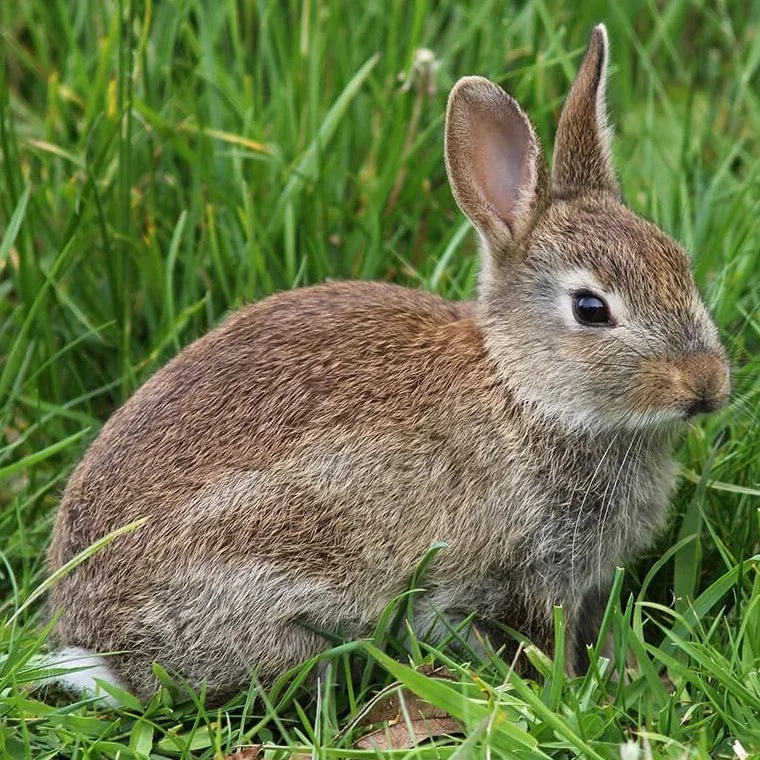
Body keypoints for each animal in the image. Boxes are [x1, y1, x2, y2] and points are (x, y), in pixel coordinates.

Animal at [46, 24, 730, 704]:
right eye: (591, 309)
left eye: (679, 261)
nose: (708, 385)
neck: (523, 389)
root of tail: (105, 653)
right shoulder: (519, 570)